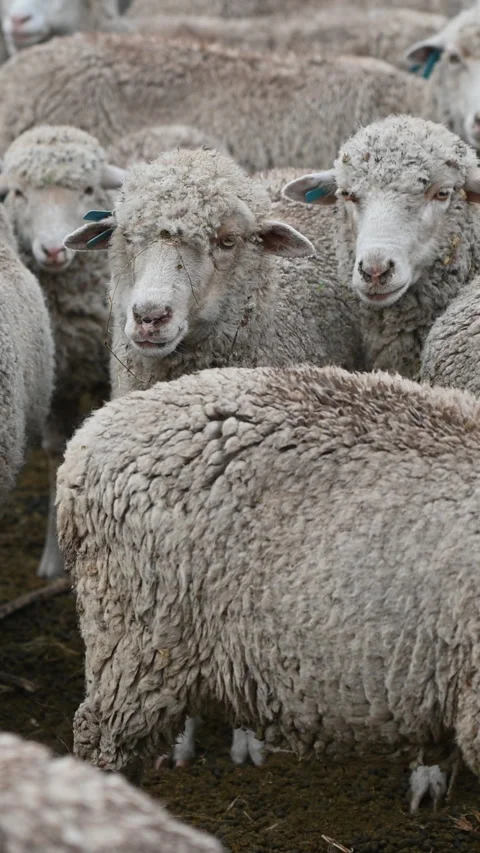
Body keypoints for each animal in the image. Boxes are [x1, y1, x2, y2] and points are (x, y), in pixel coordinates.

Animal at [0, 125, 126, 578]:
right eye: (18, 194)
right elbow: (60, 453)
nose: (54, 250)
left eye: (87, 189)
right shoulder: (60, 380)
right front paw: (54, 560)